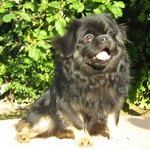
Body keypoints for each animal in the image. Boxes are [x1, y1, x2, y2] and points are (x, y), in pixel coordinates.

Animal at [15, 13, 130, 147]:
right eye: (88, 37)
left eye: (111, 33)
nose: (104, 38)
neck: (96, 76)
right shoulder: (68, 104)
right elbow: (78, 123)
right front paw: (84, 139)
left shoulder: (114, 101)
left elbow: (113, 120)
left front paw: (116, 136)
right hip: (44, 118)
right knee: (28, 126)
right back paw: (23, 135)